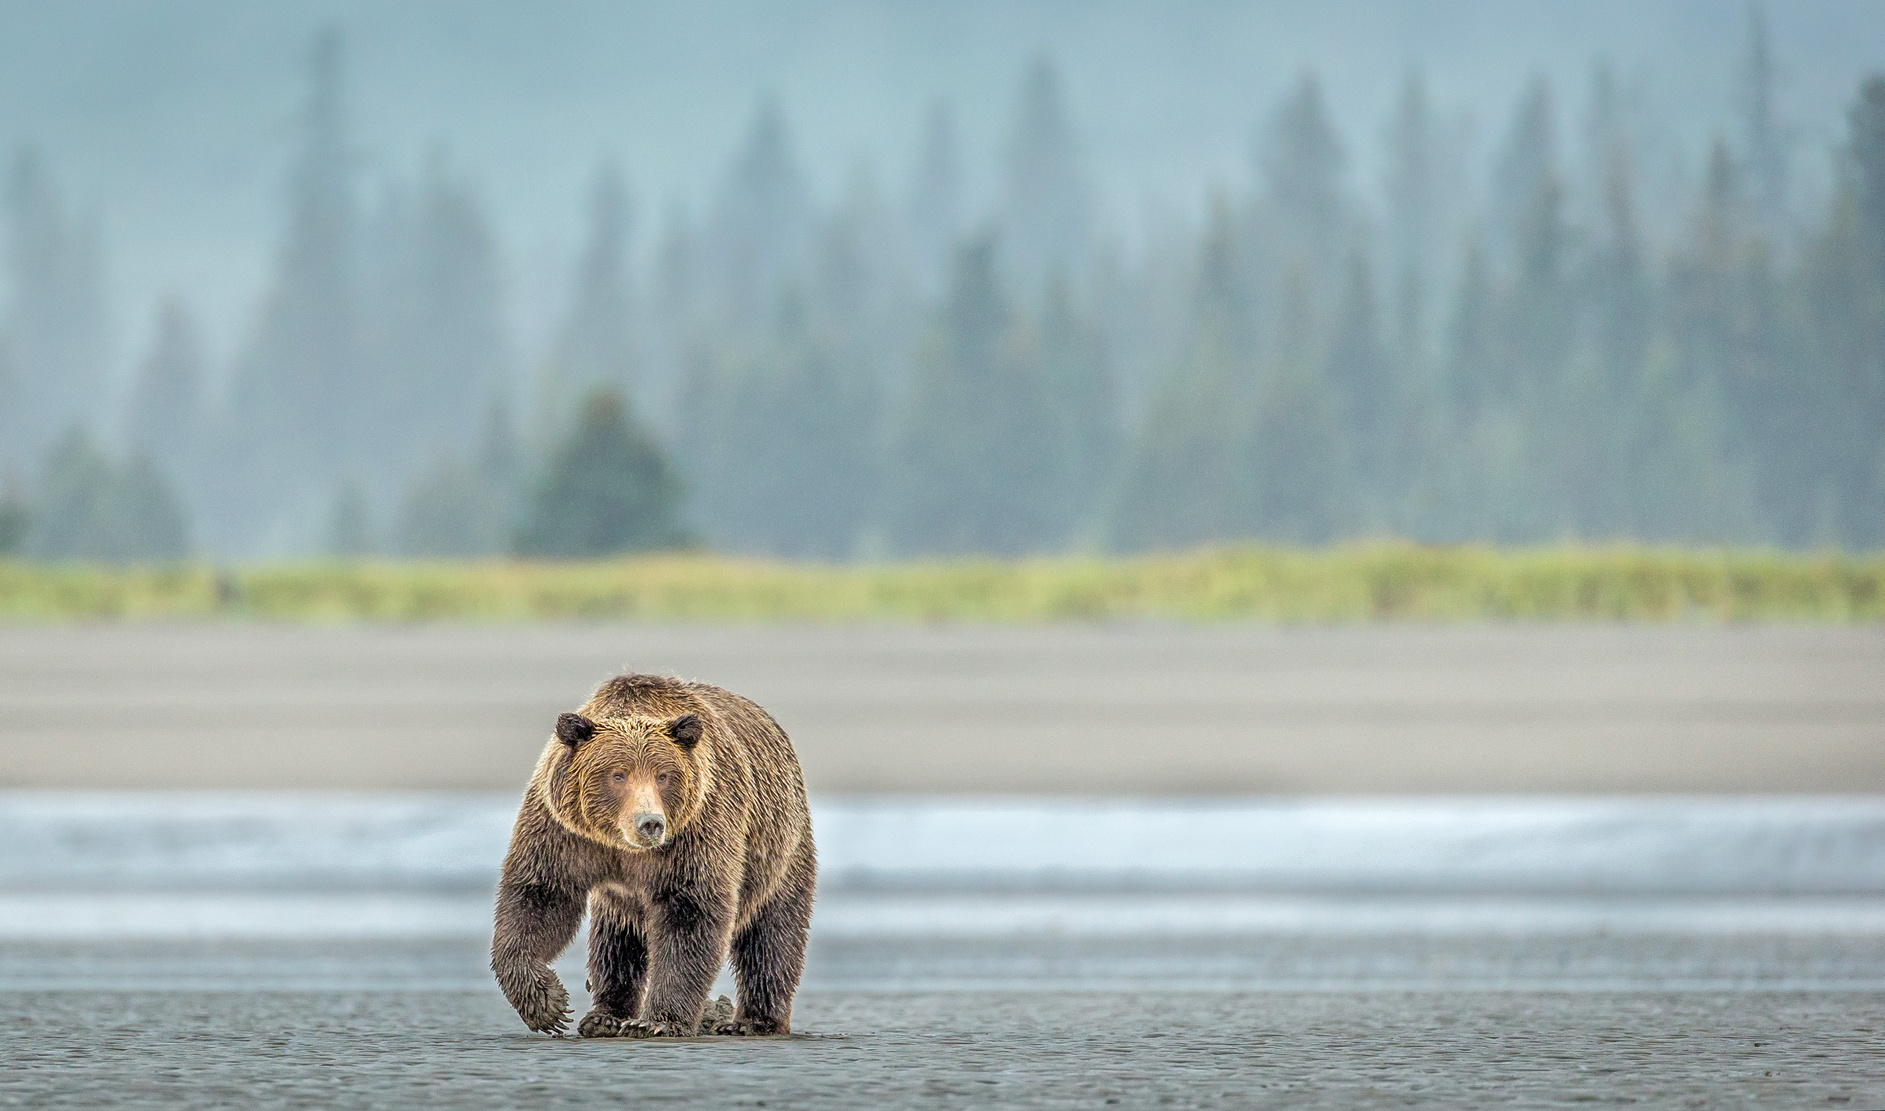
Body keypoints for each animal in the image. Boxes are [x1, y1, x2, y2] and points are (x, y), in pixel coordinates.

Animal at [490, 671, 814, 1033]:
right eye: (618, 774)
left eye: (663, 775)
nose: (650, 823)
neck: (620, 845)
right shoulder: (563, 831)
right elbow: (540, 898)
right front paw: (548, 1004)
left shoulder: (697, 830)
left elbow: (690, 911)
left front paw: (659, 1021)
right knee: (616, 941)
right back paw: (606, 1016)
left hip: (779, 846)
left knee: (772, 934)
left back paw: (751, 1021)